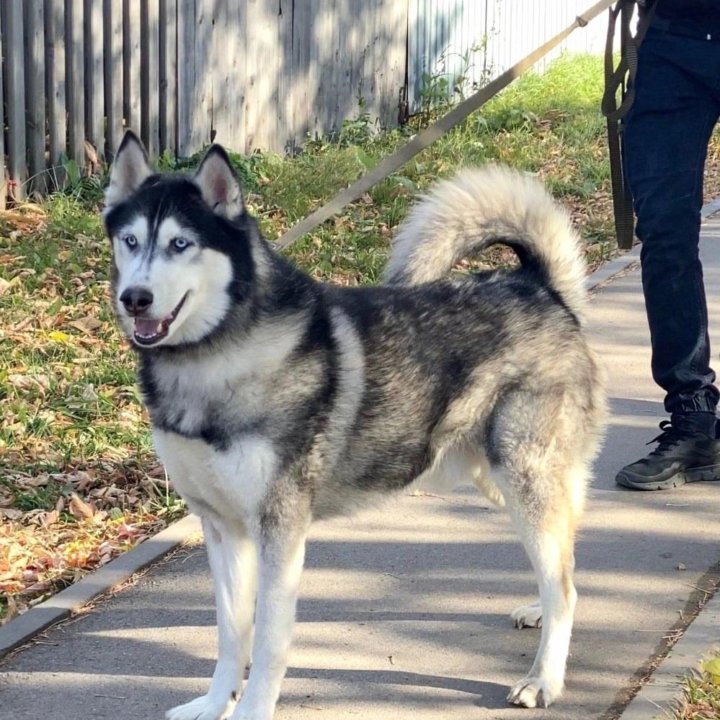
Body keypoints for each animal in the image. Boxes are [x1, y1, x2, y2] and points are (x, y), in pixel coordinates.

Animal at [102, 131, 608, 720]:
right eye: (131, 241)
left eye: (181, 244)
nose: (135, 298)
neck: (213, 359)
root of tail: (538, 286)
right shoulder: (222, 528)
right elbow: (230, 633)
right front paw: (213, 702)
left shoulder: (279, 532)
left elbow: (268, 639)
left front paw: (251, 708)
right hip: (501, 481)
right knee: (564, 560)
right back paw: (540, 608)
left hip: (524, 478)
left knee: (563, 582)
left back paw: (545, 677)